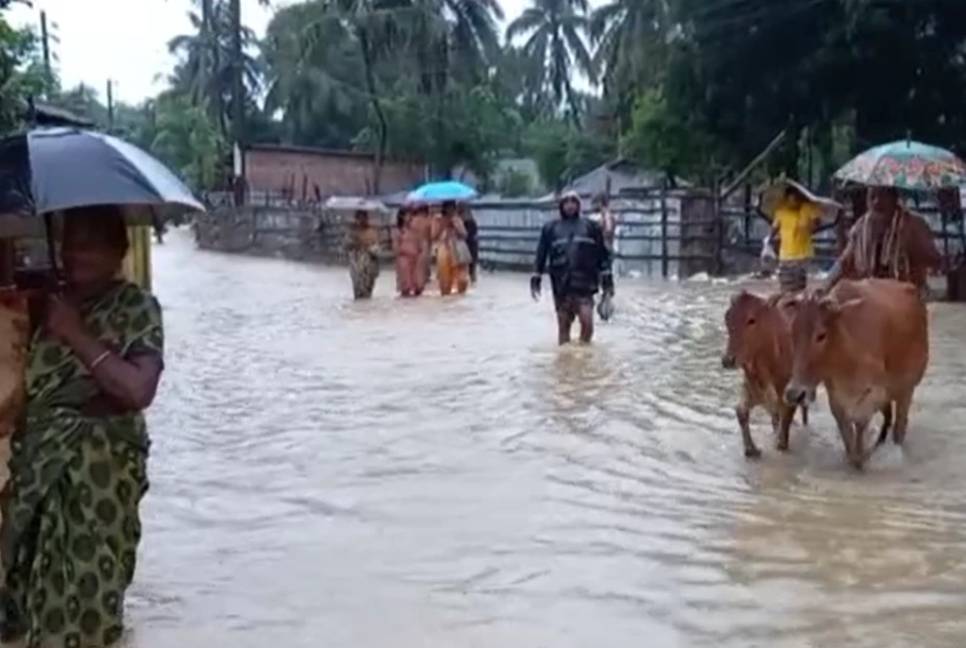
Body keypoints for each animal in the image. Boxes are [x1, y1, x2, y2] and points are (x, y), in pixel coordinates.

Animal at [724, 292, 812, 458]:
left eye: (751, 320)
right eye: (727, 318)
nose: (727, 360)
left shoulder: (789, 394)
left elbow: (785, 420)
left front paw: (781, 443)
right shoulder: (751, 389)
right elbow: (741, 411)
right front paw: (750, 448)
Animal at [784, 278, 928, 466]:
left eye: (821, 335)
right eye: (791, 333)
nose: (795, 394)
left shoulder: (873, 393)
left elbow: (860, 426)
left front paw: (864, 455)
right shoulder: (836, 396)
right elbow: (847, 435)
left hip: (907, 388)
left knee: (900, 426)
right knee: (888, 418)